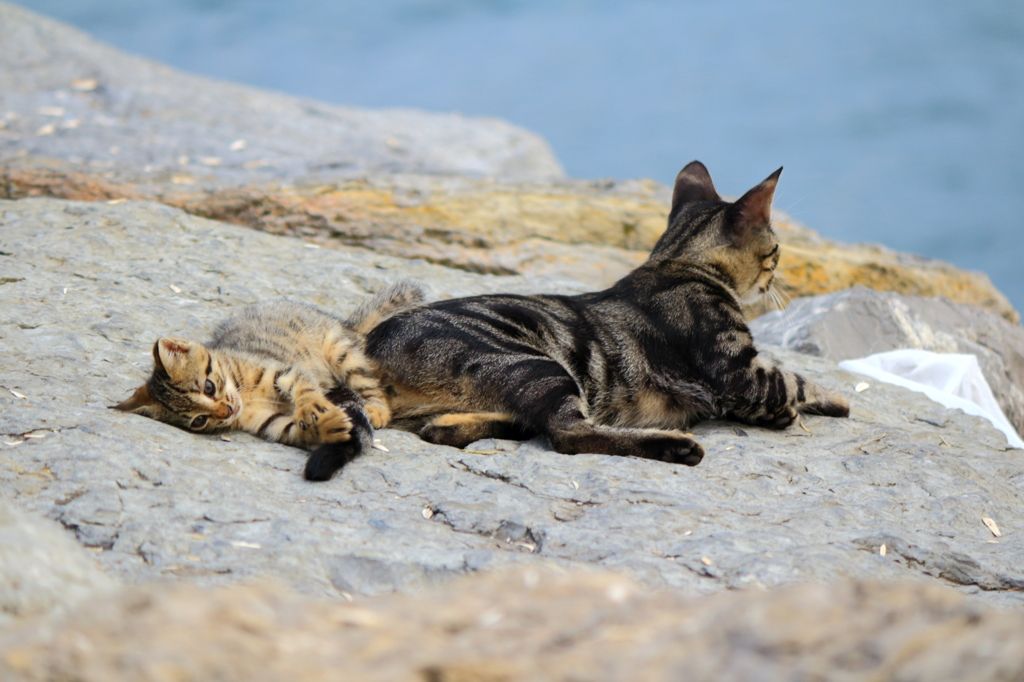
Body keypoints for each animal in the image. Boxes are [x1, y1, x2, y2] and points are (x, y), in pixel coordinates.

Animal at [115, 278, 423, 477]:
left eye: (209, 386)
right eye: (199, 420)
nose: (227, 411)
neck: (245, 394)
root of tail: (343, 323)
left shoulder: (284, 371)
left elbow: (305, 390)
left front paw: (312, 407)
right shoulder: (271, 423)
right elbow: (297, 429)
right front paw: (329, 427)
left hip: (341, 353)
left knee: (370, 385)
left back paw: (376, 411)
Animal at [366, 161, 847, 464]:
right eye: (777, 250)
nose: (775, 278)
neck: (676, 262)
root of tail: (372, 345)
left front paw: (778, 413)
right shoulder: (737, 370)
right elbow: (796, 379)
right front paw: (835, 398)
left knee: (450, 428)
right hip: (538, 366)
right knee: (568, 433)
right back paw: (674, 446)